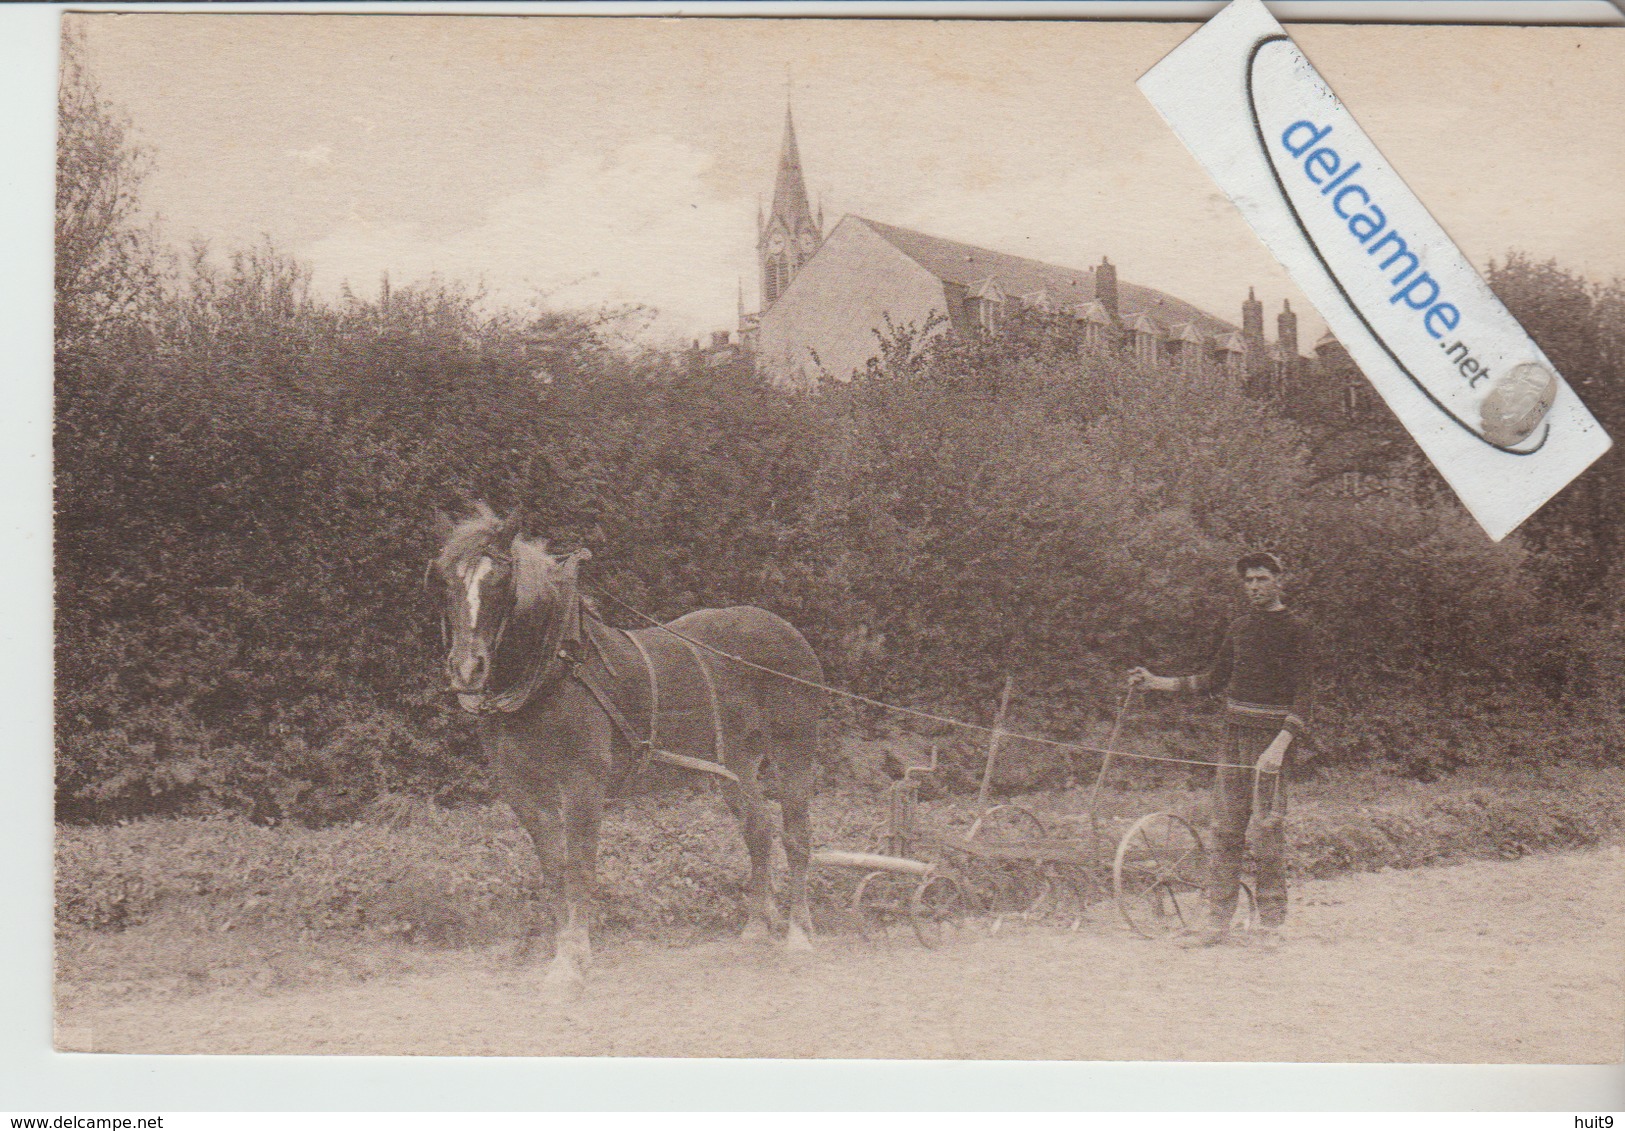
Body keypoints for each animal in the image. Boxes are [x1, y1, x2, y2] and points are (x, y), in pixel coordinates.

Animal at [432, 507, 825, 994]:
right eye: (447, 580)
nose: (467, 669)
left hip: (794, 751)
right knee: (758, 830)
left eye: (502, 581)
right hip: (734, 765)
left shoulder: (583, 782)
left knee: (797, 837)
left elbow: (579, 865)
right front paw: (565, 950)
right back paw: (755, 927)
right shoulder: (521, 788)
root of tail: (787, 630)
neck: (554, 669)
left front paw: (572, 961)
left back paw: (799, 935)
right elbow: (553, 866)